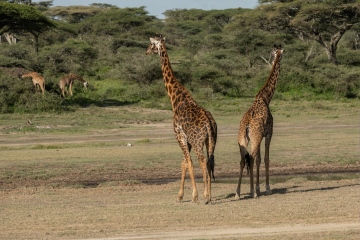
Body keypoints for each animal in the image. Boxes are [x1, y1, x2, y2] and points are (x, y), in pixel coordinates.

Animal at [146, 33, 217, 204]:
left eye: (151, 45)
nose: (146, 51)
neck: (176, 99)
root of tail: (209, 123)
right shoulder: (187, 140)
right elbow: (184, 163)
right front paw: (180, 196)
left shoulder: (180, 136)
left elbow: (188, 163)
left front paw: (194, 196)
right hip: (211, 141)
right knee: (210, 161)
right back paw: (210, 196)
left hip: (198, 141)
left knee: (202, 160)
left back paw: (205, 196)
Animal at [235, 44, 286, 199]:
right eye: (280, 54)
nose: (276, 58)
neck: (265, 97)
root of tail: (246, 126)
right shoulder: (268, 133)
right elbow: (265, 158)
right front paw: (266, 188)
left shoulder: (258, 137)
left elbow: (258, 159)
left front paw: (257, 188)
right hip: (255, 137)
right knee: (251, 158)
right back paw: (253, 192)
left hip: (243, 139)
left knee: (243, 160)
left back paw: (237, 193)